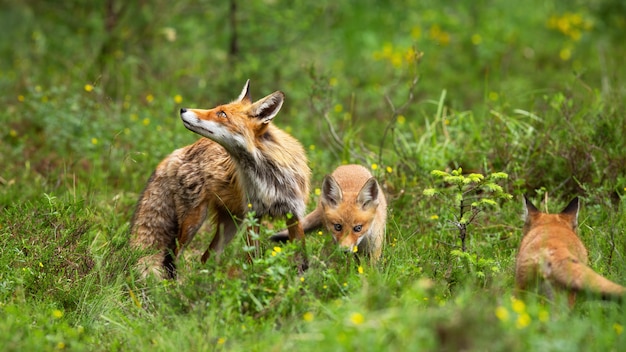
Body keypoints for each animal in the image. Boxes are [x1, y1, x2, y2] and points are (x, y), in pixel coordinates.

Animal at [130, 80, 310, 278]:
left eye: (222, 114)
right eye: (216, 109)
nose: (183, 109)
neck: (266, 174)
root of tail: (177, 152)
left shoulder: (294, 212)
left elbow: (301, 259)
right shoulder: (254, 215)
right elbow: (252, 260)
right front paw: (253, 280)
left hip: (230, 225)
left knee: (204, 257)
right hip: (194, 221)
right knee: (173, 256)